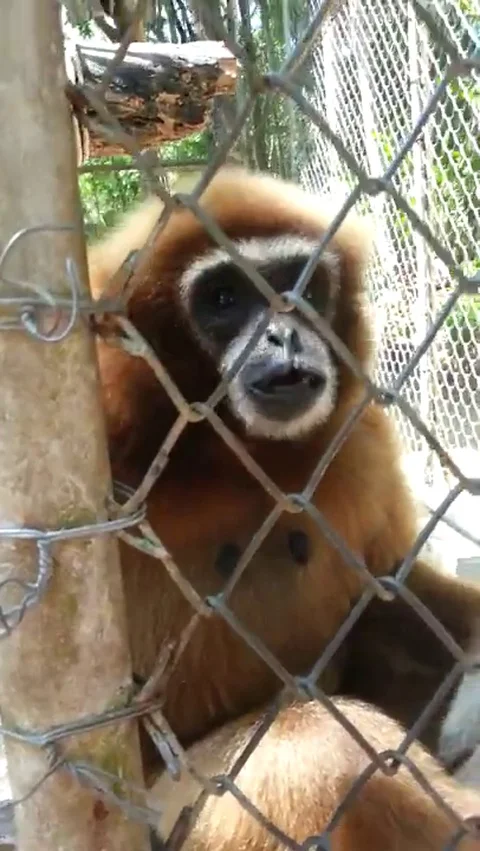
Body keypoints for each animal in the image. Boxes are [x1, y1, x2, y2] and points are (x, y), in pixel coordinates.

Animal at [87, 166, 480, 846]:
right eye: (225, 299)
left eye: (301, 287)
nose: (285, 331)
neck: (227, 454)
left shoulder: (360, 434)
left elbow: (388, 588)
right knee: (311, 747)